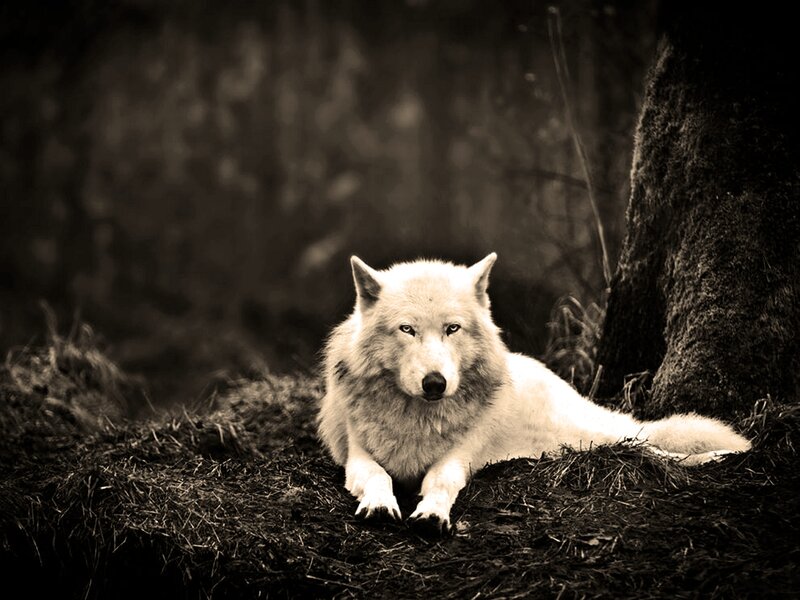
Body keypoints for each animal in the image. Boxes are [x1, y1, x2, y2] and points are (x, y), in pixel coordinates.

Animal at [317, 253, 751, 534]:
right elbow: (377, 475)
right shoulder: (357, 455)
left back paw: (721, 455)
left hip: (591, 436)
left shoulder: (460, 456)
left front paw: (432, 514)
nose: (435, 383)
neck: (418, 419)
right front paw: (380, 504)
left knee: (649, 445)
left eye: (452, 329)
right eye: (406, 329)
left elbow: (441, 479)